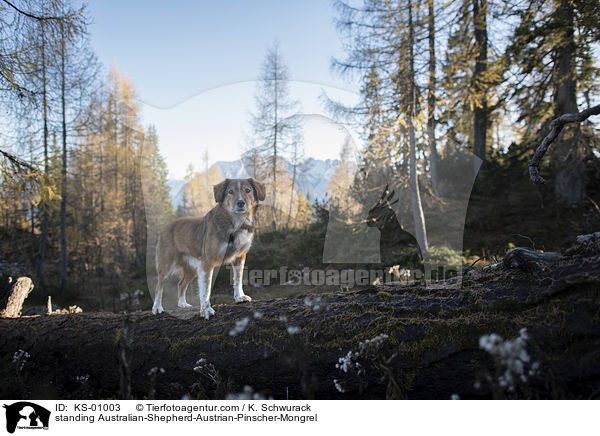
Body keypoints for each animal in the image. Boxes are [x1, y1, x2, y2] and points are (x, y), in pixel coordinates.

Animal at [152, 179, 264, 318]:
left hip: (192, 269)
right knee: (158, 287)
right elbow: (206, 289)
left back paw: (183, 304)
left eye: (247, 190)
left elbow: (237, 279)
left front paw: (239, 297)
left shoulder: (239, 257)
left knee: (181, 284)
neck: (236, 223)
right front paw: (206, 310)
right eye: (230, 192)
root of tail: (165, 227)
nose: (241, 203)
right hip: (166, 265)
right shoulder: (207, 262)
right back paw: (157, 308)